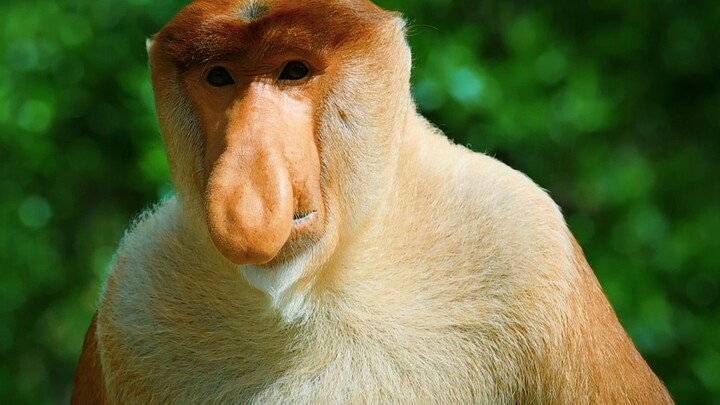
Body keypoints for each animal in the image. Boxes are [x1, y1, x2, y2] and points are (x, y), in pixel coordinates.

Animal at [72, 0, 674, 403]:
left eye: (294, 70)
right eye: (218, 77)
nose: (249, 192)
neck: (311, 290)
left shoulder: (526, 243)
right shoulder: (133, 296)